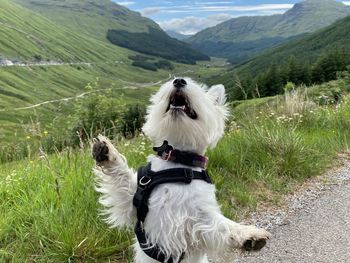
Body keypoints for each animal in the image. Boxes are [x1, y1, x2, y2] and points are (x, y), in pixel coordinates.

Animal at [91, 78, 270, 263]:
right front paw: (106, 151)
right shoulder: (134, 201)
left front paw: (250, 235)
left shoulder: (201, 217)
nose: (179, 81)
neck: (177, 161)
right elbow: (122, 179)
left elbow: (222, 225)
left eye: (198, 89)